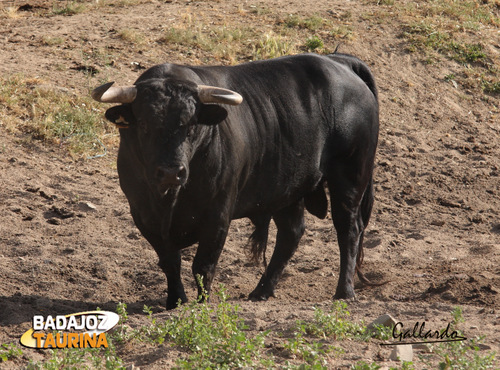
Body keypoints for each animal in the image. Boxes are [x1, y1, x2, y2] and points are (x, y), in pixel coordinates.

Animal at [91, 52, 378, 310]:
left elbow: (203, 264)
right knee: (291, 234)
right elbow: (170, 261)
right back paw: (261, 291)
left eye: (192, 125)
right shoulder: (143, 214)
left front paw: (201, 303)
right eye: (144, 125)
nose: (172, 172)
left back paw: (344, 291)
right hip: (288, 190)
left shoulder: (218, 213)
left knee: (348, 230)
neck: (170, 199)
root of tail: (339, 61)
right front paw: (175, 301)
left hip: (349, 178)